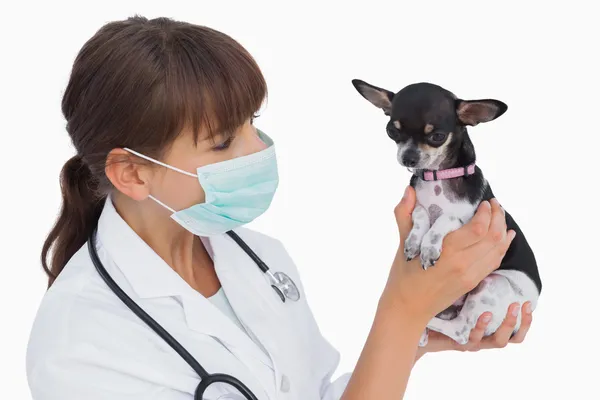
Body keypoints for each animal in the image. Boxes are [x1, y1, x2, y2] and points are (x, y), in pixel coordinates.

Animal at [352, 79, 544, 346]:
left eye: (437, 136)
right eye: (392, 131)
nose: (408, 158)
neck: (438, 177)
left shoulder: (468, 218)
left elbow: (446, 217)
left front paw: (429, 247)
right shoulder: (416, 206)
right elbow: (422, 214)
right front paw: (414, 241)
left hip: (493, 282)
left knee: (461, 331)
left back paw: (425, 322)